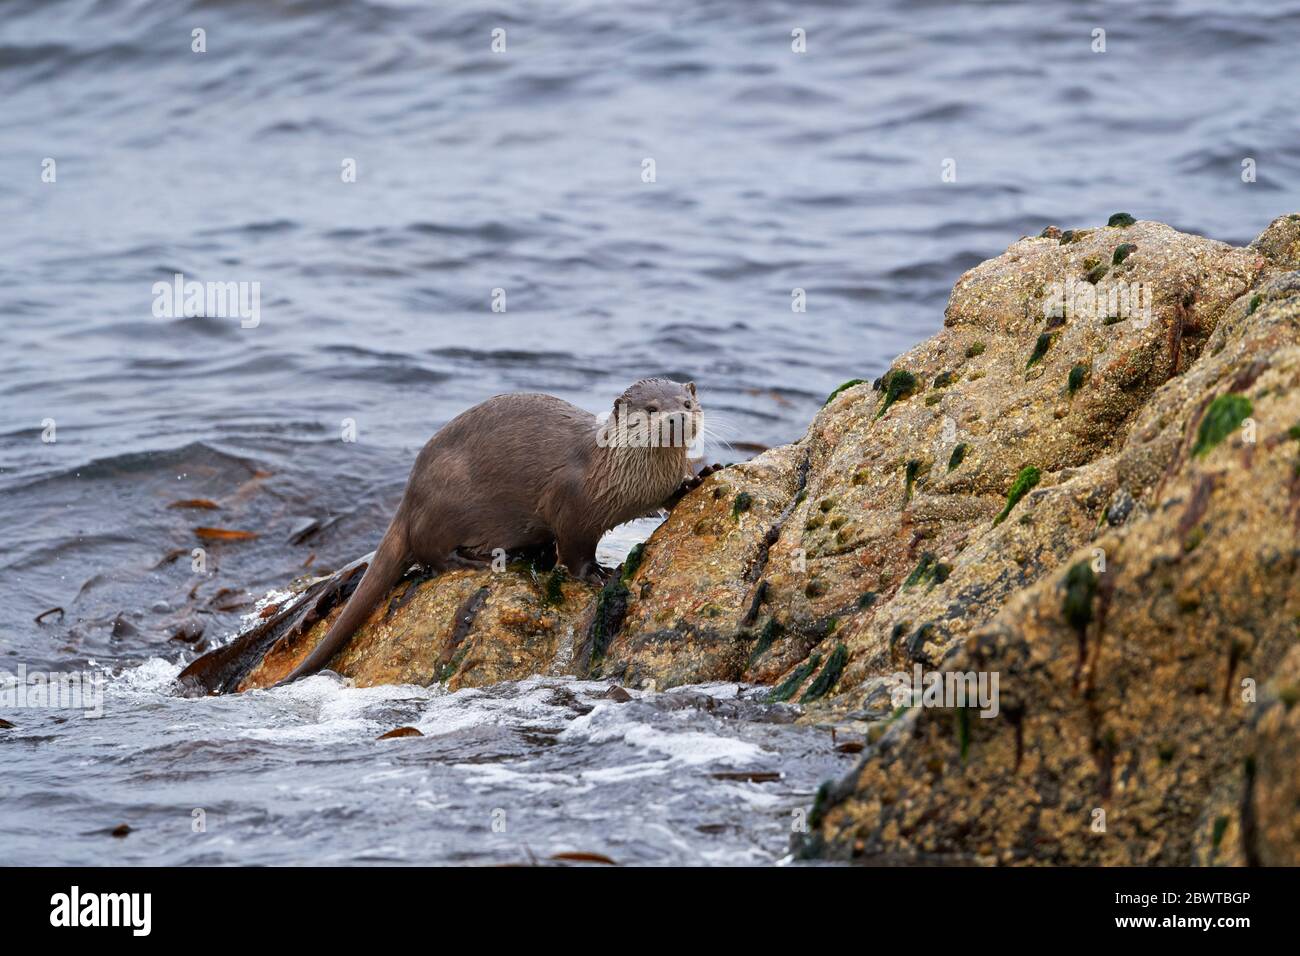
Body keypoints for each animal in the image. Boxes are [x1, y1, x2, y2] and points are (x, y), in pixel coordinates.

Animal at [279, 377, 707, 686]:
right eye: (651, 410)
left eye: (686, 404)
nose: (676, 418)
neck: (619, 479)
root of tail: (410, 495)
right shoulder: (570, 505)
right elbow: (574, 551)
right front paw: (598, 574)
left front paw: (701, 476)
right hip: (445, 504)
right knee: (430, 553)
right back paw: (479, 560)